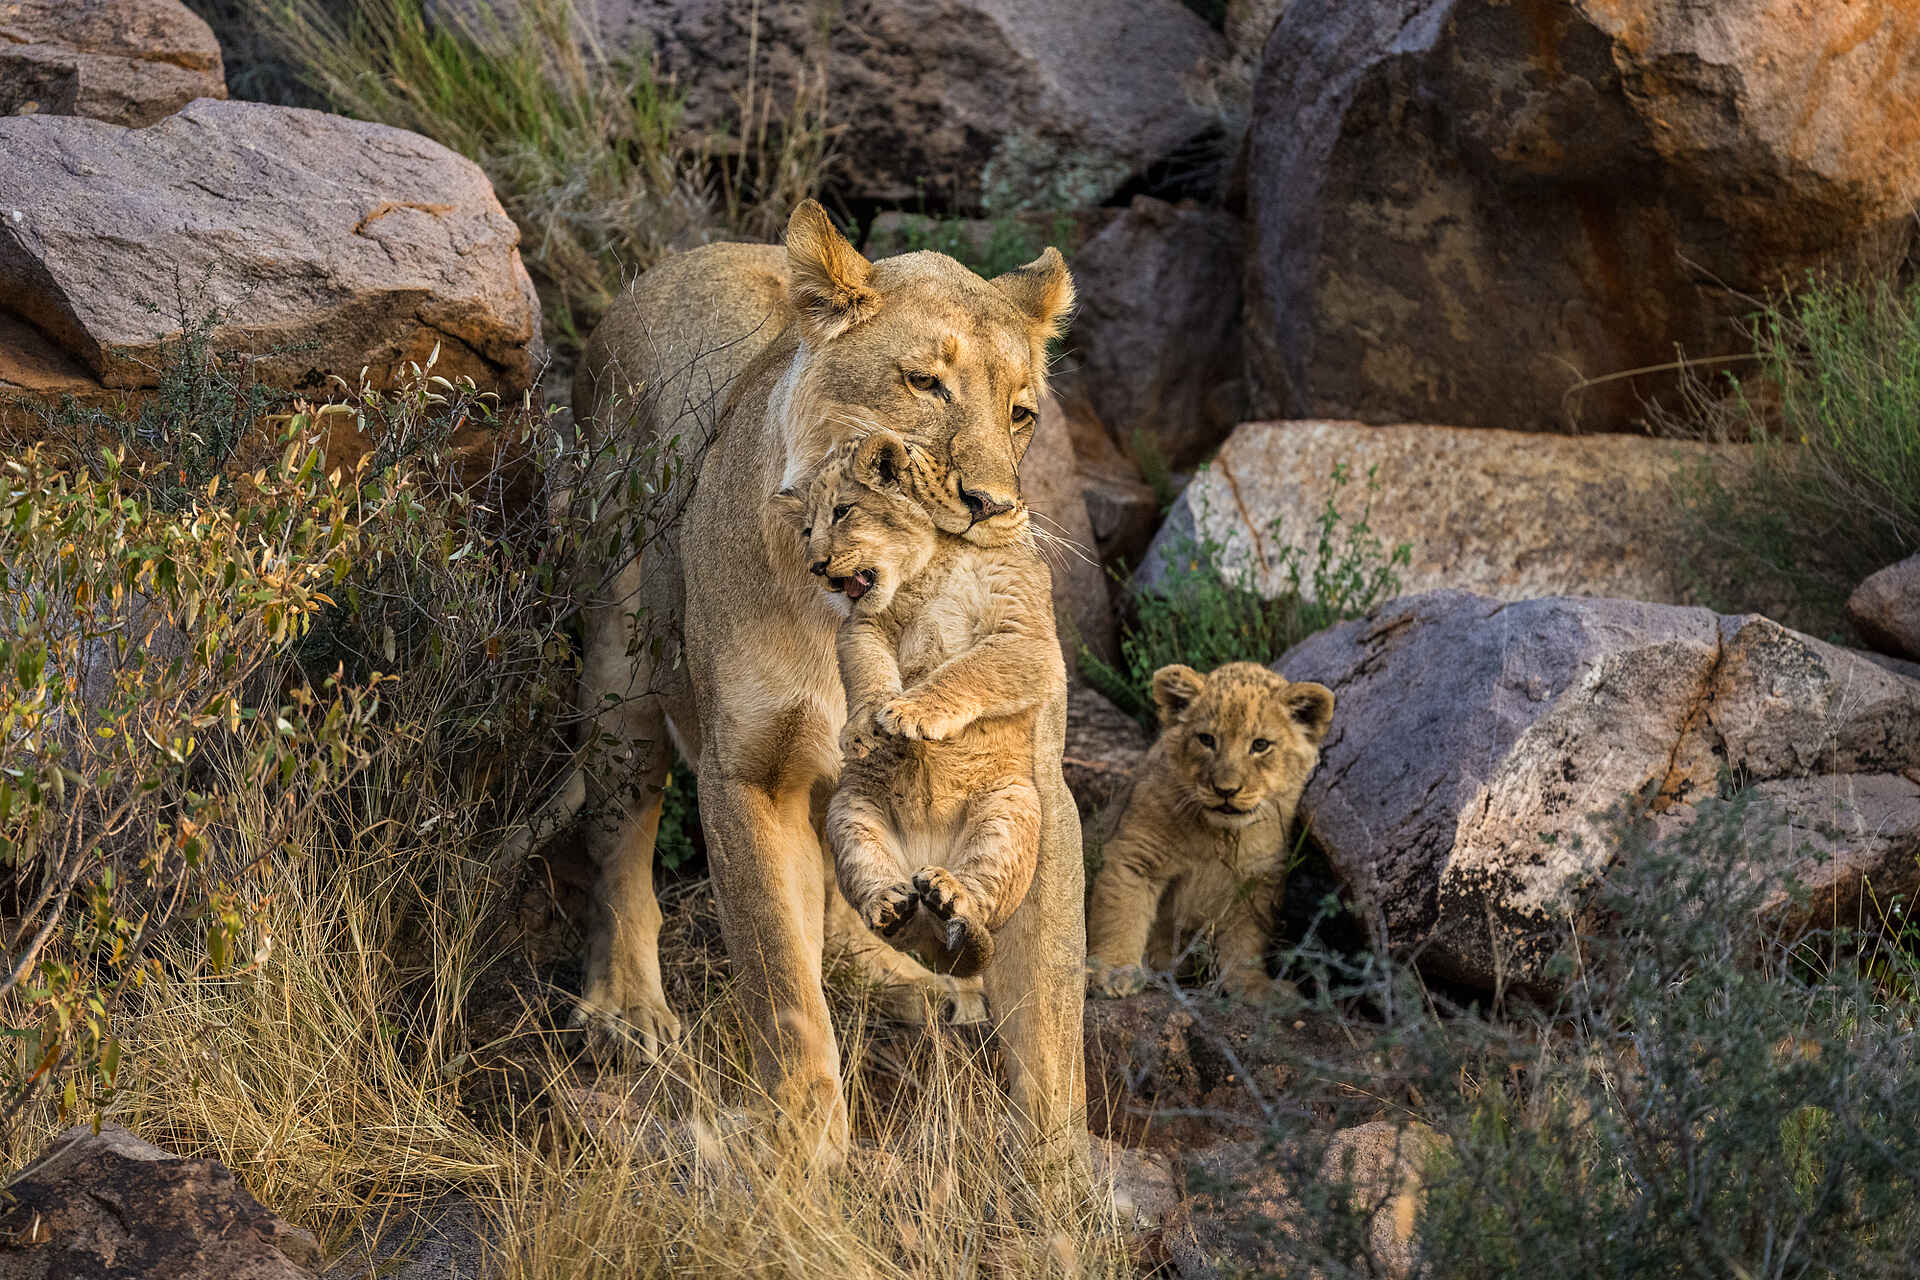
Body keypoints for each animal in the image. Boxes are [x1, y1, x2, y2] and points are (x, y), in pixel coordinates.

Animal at [768, 427, 1061, 978]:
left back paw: (951, 900)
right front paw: (867, 726)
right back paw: (892, 905)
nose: (816, 566)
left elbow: (966, 669)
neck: (932, 562)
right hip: (851, 811)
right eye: (806, 530)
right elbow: (868, 672)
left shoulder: (1029, 638)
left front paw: (909, 713)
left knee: (980, 906)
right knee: (876, 886)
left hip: (1011, 808)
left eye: (843, 511)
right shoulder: (862, 628)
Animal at [1084, 662, 1334, 1001]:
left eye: (1260, 745)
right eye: (1206, 739)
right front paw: (1114, 971)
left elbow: (1245, 940)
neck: (1220, 836)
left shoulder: (1258, 880)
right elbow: (1120, 913)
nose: (1226, 790)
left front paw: (1253, 985)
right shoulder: (1136, 855)